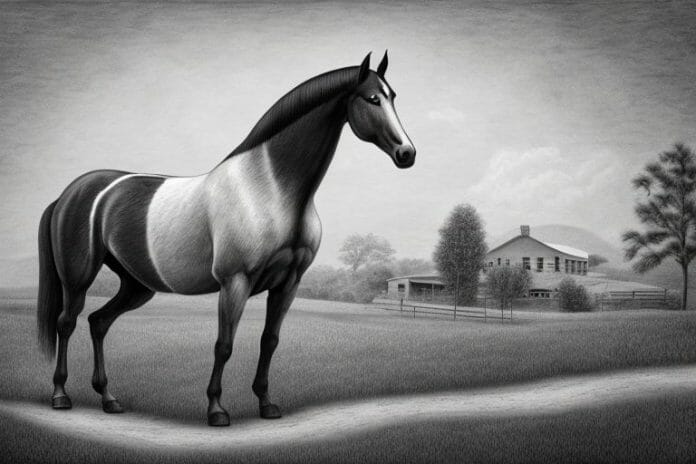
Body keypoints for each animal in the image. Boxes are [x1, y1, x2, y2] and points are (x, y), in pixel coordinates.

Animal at [36, 51, 415, 426]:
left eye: (394, 96)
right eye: (372, 98)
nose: (407, 153)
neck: (270, 189)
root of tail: (72, 193)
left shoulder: (288, 283)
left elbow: (269, 341)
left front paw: (266, 403)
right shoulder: (235, 281)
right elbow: (224, 344)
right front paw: (217, 409)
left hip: (137, 285)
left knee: (98, 323)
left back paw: (109, 399)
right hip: (78, 278)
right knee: (66, 323)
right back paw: (61, 395)